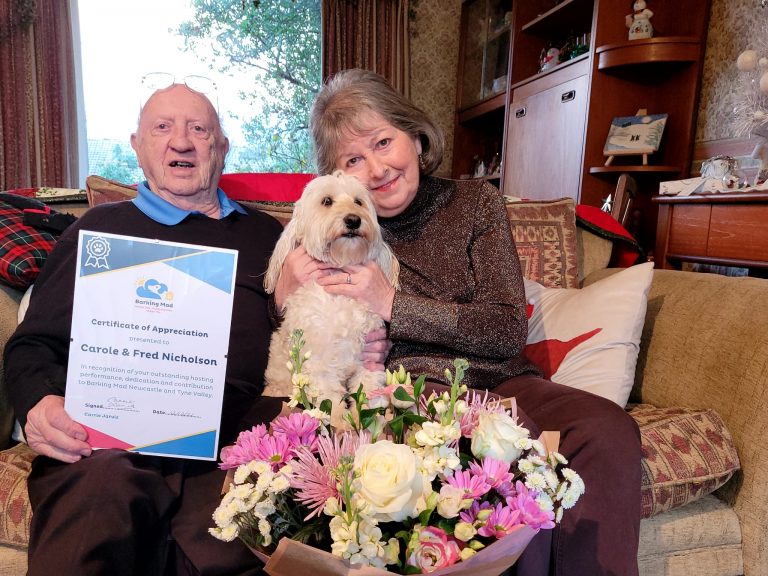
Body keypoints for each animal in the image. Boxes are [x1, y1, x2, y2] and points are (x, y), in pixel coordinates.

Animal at [262, 171, 400, 414]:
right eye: (327, 201)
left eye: (358, 201)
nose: (353, 220)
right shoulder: (320, 366)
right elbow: (331, 404)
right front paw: (341, 421)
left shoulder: (368, 360)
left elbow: (371, 393)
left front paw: (372, 418)